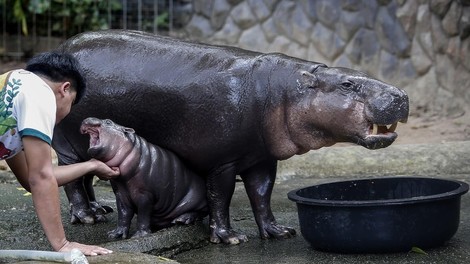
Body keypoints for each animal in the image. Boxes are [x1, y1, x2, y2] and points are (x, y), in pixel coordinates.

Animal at [53, 28, 410, 243]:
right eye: (348, 84)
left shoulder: (262, 159)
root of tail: (62, 47)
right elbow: (220, 197)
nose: (401, 95)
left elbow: (262, 195)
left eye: (360, 73)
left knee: (85, 177)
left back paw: (100, 210)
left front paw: (279, 232)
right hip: (67, 142)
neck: (285, 92)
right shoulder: (223, 162)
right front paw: (230, 238)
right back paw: (87, 217)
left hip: (83, 145)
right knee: (72, 179)